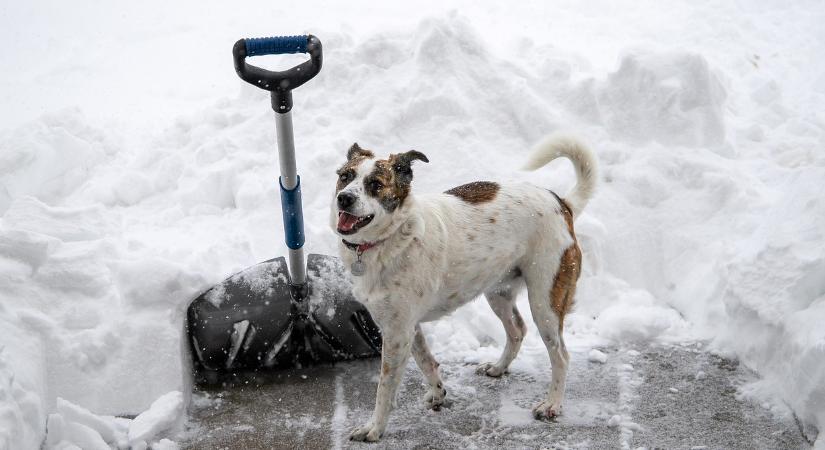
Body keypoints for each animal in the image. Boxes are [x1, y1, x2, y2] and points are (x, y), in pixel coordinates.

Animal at [330, 134, 600, 442]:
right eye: (345, 176)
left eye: (375, 184)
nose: (344, 198)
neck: (391, 238)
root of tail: (562, 202)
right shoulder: (406, 326)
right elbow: (425, 360)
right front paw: (438, 393)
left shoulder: (397, 333)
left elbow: (385, 388)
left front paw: (374, 428)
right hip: (498, 291)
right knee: (517, 330)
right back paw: (498, 368)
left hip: (546, 301)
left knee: (561, 356)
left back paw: (552, 404)